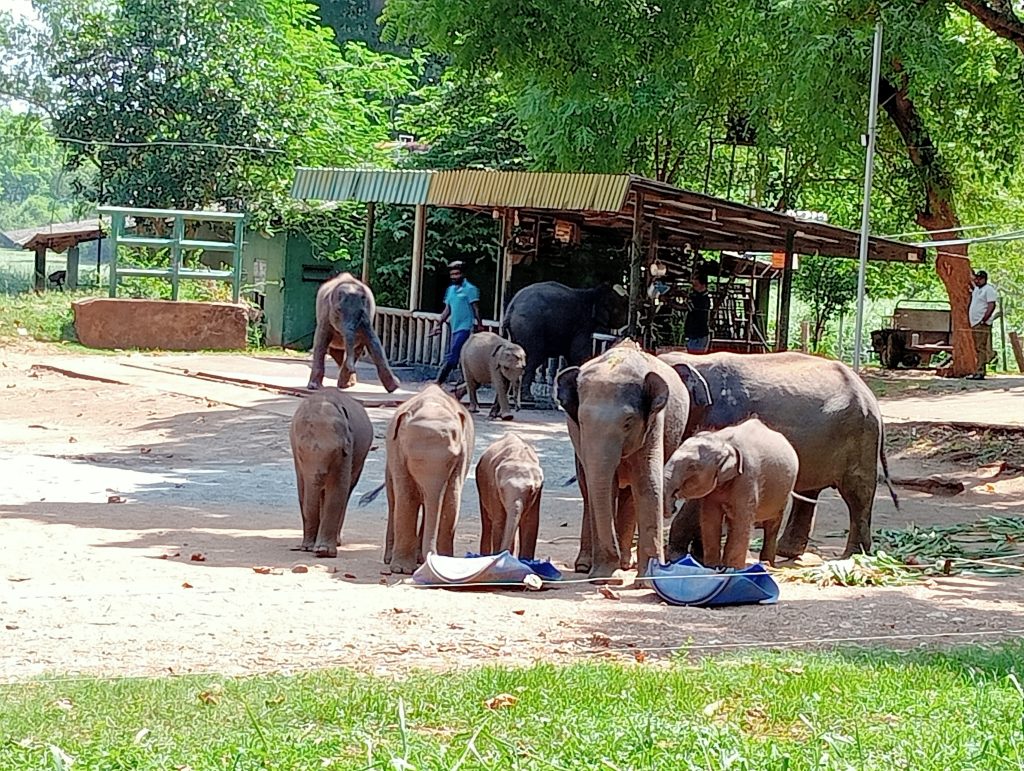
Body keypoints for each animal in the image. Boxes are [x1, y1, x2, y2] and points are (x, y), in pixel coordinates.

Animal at [288, 389, 373, 557]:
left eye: (337, 451)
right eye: (301, 452)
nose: (306, 547)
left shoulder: (349, 448)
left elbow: (337, 488)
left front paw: (323, 551)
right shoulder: (296, 456)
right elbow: (303, 490)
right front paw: (309, 547)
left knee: (346, 491)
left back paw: (335, 542)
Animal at [379, 384, 474, 574]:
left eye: (451, 460)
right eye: (414, 460)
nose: (432, 558)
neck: (432, 407)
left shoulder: (463, 456)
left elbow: (451, 499)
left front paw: (444, 564)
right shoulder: (398, 453)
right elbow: (406, 497)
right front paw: (401, 570)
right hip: (389, 465)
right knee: (393, 501)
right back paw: (389, 559)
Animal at [555, 340, 708, 579]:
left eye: (628, 422)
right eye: (582, 421)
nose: (613, 561)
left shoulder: (655, 423)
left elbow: (648, 484)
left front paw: (646, 579)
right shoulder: (580, 436)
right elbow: (604, 487)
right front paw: (601, 575)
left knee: (629, 494)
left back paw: (625, 563)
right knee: (589, 491)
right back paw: (586, 566)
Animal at [664, 417, 798, 569]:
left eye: (692, 466)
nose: (673, 507)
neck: (722, 441)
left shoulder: (748, 476)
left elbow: (741, 520)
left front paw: (731, 569)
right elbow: (710, 518)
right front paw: (713, 568)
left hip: (784, 493)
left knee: (772, 524)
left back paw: (767, 564)